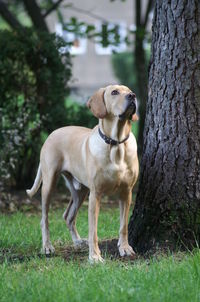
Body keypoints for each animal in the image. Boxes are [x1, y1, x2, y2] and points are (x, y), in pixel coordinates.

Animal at [26, 84, 139, 262]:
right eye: (114, 92)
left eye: (129, 90)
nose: (132, 96)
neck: (116, 144)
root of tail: (52, 133)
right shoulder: (96, 195)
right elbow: (93, 230)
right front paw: (95, 257)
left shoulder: (126, 192)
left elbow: (123, 226)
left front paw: (125, 248)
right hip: (49, 183)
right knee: (44, 218)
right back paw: (47, 246)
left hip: (80, 191)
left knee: (68, 216)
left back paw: (78, 241)